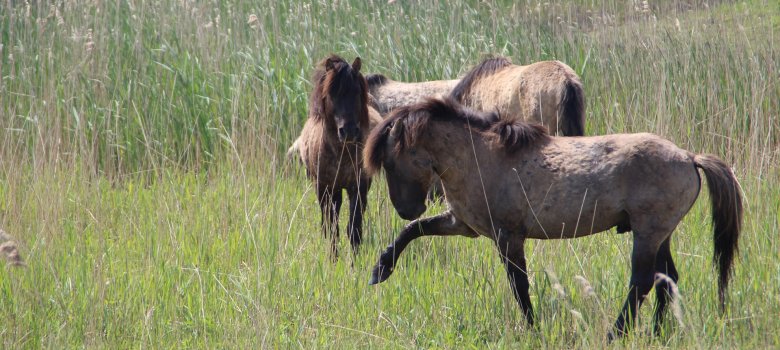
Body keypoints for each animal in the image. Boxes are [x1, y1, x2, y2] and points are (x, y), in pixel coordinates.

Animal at [296, 54, 384, 258]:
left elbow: (354, 228)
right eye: (332, 94)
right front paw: (332, 260)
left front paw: (354, 262)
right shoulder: (323, 188)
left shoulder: (358, 187)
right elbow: (330, 228)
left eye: (356, 92)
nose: (349, 131)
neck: (340, 154)